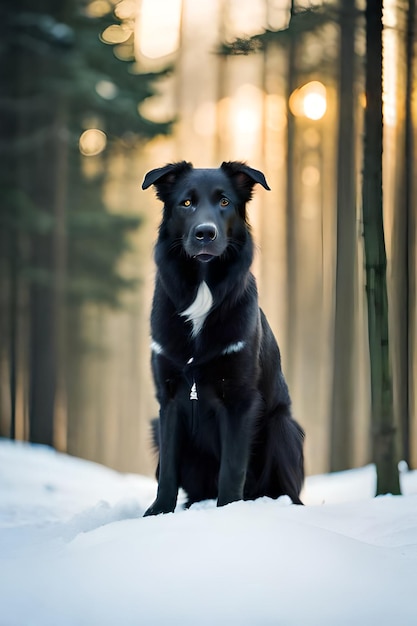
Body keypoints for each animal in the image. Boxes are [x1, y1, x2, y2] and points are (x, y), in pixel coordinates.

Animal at [141, 158, 304, 516]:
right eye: (186, 203)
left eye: (225, 202)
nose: (205, 233)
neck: (203, 288)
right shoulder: (168, 399)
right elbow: (168, 470)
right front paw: (158, 513)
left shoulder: (241, 400)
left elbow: (232, 468)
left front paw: (228, 512)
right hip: (156, 429)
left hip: (283, 427)